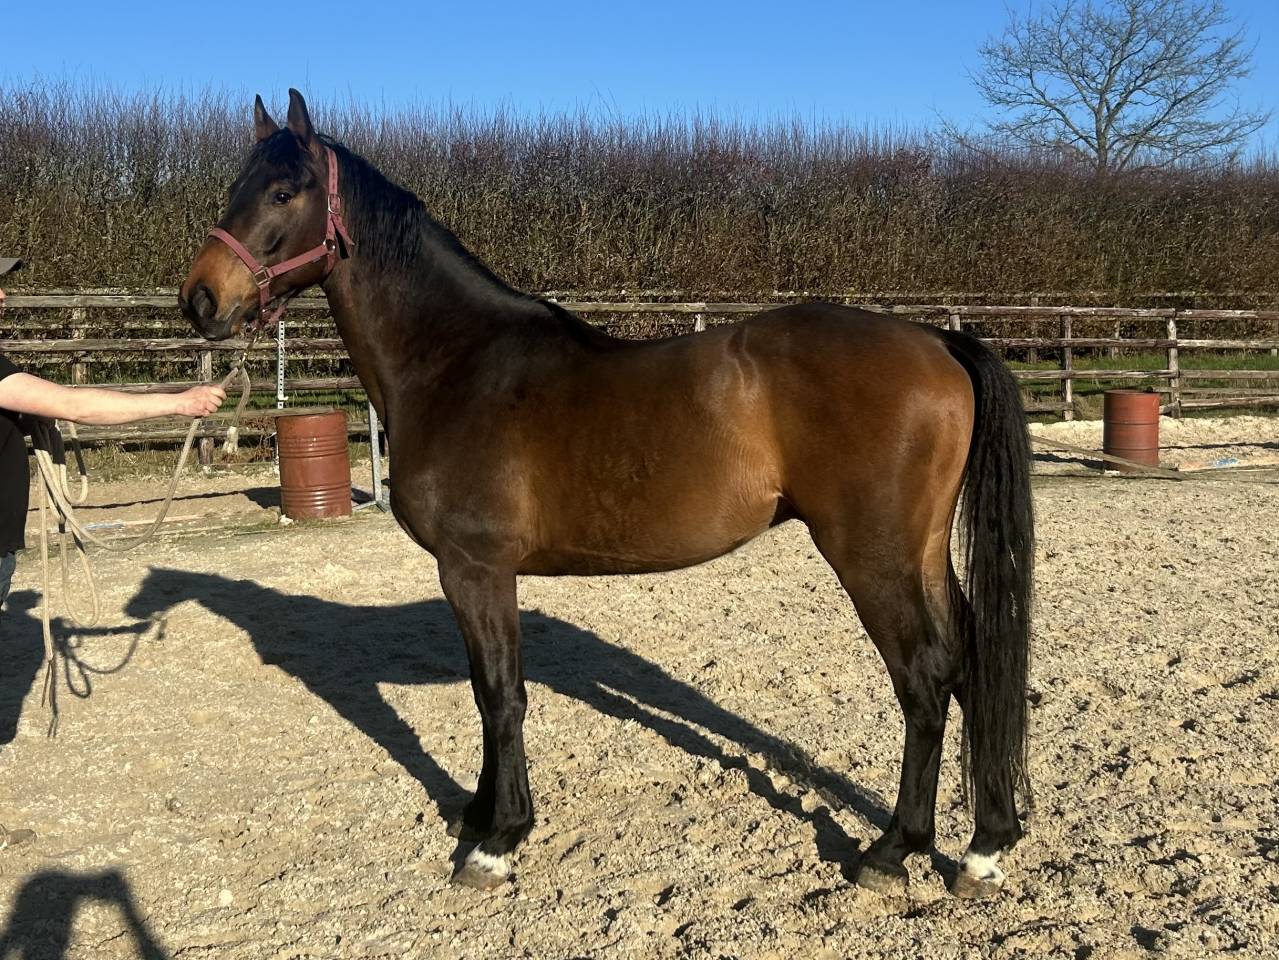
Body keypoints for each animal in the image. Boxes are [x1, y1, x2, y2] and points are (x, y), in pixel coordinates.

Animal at [179, 89, 1034, 897]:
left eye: (284, 191)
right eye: (235, 187)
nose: (200, 300)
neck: (455, 363)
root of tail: (935, 342)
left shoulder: (474, 568)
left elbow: (500, 695)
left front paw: (497, 842)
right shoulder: (476, 576)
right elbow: (487, 692)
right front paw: (481, 814)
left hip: (872, 557)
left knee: (923, 679)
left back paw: (892, 851)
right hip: (921, 552)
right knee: (969, 665)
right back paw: (984, 848)